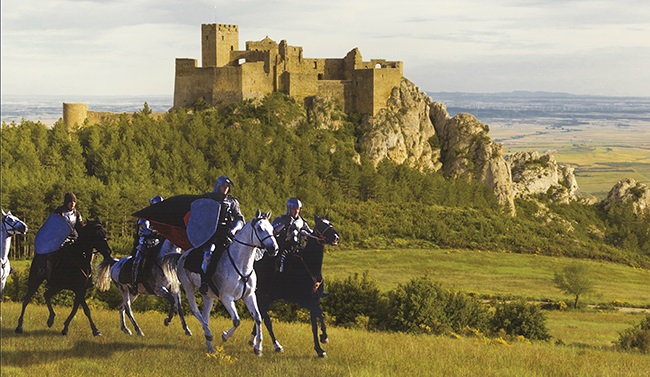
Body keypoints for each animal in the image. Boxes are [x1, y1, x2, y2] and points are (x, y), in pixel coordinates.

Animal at [172, 210, 276, 354]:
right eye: (260, 228)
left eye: (272, 229)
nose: (274, 249)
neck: (241, 265)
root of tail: (183, 255)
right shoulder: (226, 297)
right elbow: (237, 321)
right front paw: (225, 336)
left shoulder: (249, 295)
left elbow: (258, 318)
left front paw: (258, 347)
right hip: (188, 287)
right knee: (195, 311)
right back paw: (208, 334)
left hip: (208, 296)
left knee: (205, 316)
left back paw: (210, 346)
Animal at [251, 216, 340, 356]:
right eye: (321, 226)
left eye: (330, 223)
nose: (336, 237)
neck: (309, 265)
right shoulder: (307, 301)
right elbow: (315, 322)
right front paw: (321, 345)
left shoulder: (314, 300)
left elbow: (318, 317)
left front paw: (322, 341)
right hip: (263, 295)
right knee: (266, 319)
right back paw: (276, 345)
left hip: (268, 297)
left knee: (260, 315)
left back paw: (253, 340)